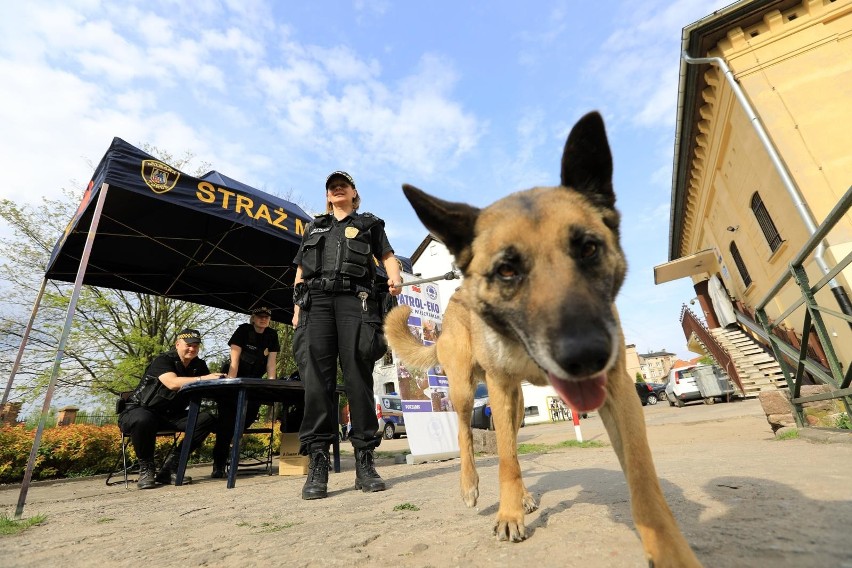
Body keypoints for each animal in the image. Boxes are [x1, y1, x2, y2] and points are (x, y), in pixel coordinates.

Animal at [386, 113, 700, 564]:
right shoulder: (498, 388)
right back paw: (472, 486)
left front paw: (668, 545)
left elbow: (642, 475)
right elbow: (504, 460)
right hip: (465, 389)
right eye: (507, 270)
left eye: (588, 248)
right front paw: (508, 514)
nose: (586, 355)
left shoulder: (618, 389)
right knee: (466, 432)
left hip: (517, 404)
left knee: (513, 441)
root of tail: (454, 297)